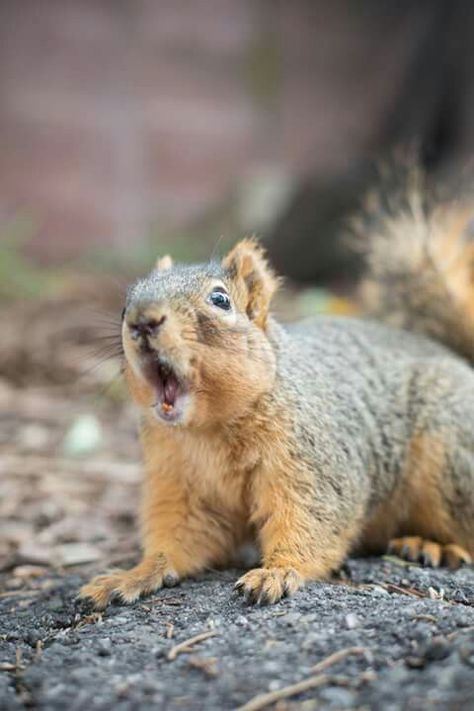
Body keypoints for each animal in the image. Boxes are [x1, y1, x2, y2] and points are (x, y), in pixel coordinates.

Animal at [80, 181, 474, 608]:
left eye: (220, 300)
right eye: (125, 304)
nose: (142, 321)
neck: (210, 427)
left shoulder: (311, 465)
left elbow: (309, 521)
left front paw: (277, 571)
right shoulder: (180, 482)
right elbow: (179, 539)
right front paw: (132, 575)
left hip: (449, 457)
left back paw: (434, 545)